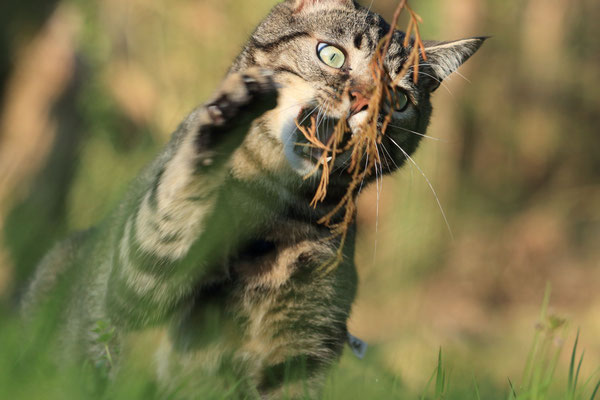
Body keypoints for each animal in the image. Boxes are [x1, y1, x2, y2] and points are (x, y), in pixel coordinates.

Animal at [21, 0, 486, 398]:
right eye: (332, 56)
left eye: (399, 98)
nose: (365, 102)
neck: (279, 211)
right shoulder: (131, 286)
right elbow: (169, 213)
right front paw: (224, 119)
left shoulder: (303, 349)